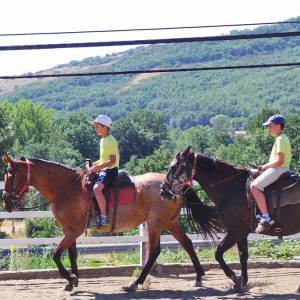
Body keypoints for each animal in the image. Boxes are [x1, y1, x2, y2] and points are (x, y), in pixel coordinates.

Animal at [1, 156, 221, 292]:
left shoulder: (73, 231)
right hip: (171, 222)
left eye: (11, 176)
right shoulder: (69, 230)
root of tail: (173, 186)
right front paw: (73, 281)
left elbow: (55, 255)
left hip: (155, 224)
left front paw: (71, 279)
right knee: (187, 244)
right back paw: (198, 277)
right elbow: (71, 254)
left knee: (154, 252)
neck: (66, 188)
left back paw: (135, 283)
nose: (7, 203)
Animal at [163, 146, 300, 292]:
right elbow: (242, 255)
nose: (163, 189)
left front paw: (234, 277)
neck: (232, 187)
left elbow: (218, 253)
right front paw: (242, 282)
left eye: (174, 166)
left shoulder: (236, 231)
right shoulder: (242, 233)